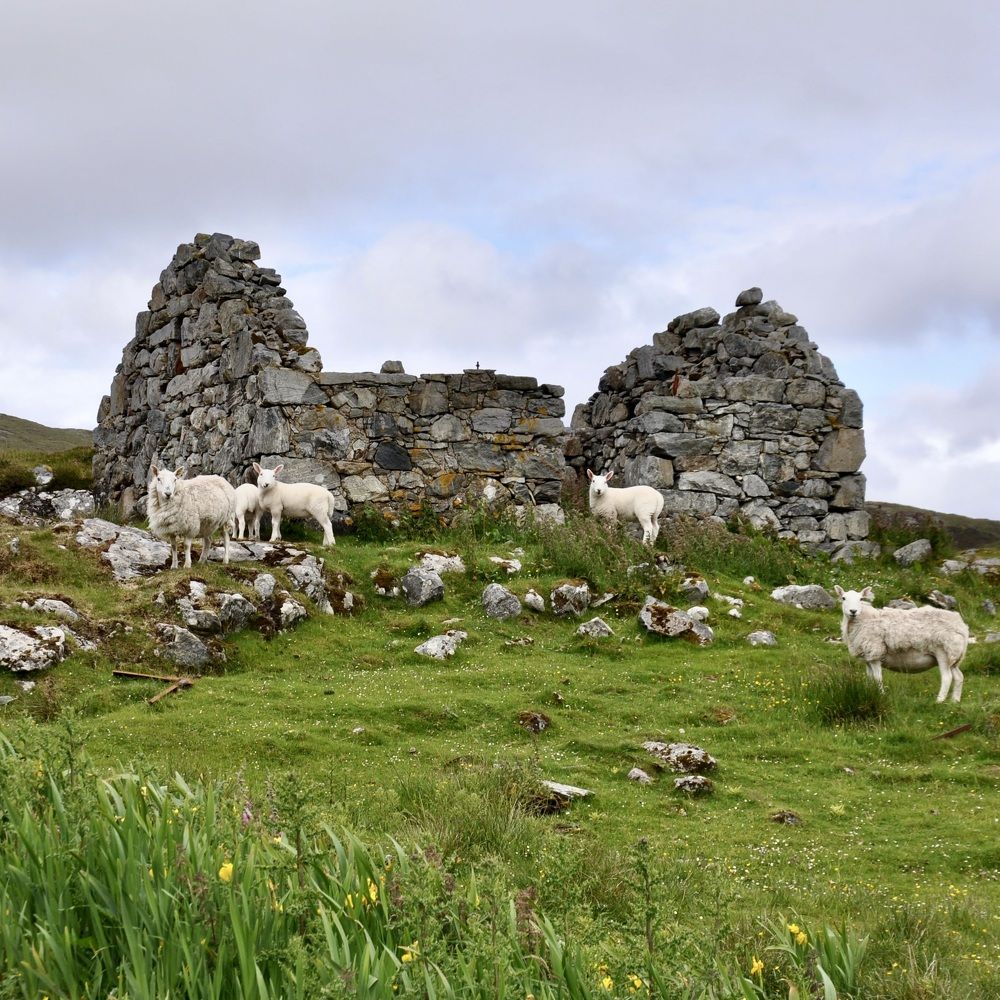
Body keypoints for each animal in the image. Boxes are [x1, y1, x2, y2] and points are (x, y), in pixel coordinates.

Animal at [834, 585, 969, 703]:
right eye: (843, 598)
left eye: (861, 599)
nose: (853, 611)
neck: (864, 619)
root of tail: (962, 626)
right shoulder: (868, 657)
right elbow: (870, 678)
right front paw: (869, 693)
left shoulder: (875, 652)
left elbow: (877, 678)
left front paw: (881, 695)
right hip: (954, 655)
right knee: (959, 676)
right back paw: (955, 701)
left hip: (943, 651)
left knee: (947, 677)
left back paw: (939, 701)